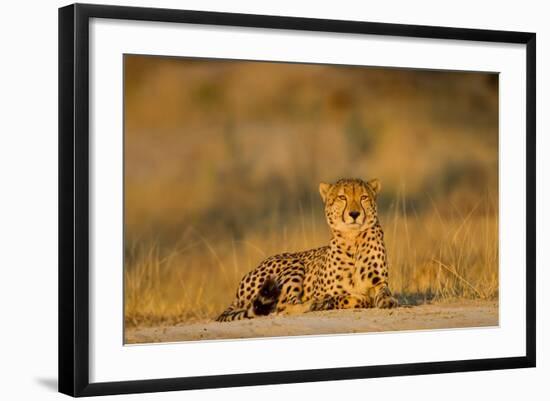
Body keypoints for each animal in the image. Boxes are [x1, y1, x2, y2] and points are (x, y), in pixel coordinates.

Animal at [218, 178, 398, 322]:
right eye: (342, 197)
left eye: (364, 197)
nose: (354, 214)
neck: (352, 239)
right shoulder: (323, 292)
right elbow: (349, 298)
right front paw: (328, 301)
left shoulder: (380, 282)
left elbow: (383, 292)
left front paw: (388, 301)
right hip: (293, 264)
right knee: (283, 305)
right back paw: (314, 304)